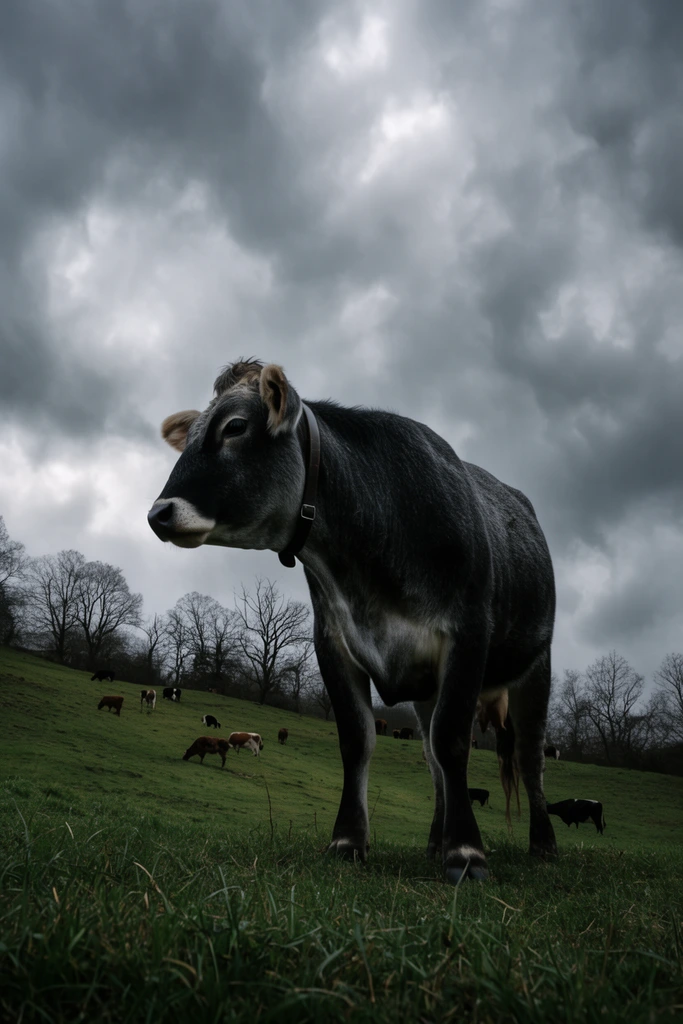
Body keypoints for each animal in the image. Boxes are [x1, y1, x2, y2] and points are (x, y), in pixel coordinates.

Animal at [147, 358, 557, 882]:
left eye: (234, 427)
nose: (159, 512)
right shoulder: (334, 642)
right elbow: (358, 741)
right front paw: (348, 841)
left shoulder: (468, 636)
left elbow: (453, 741)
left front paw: (466, 853)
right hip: (426, 690)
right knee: (431, 760)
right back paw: (433, 842)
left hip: (536, 665)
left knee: (527, 755)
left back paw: (542, 844)